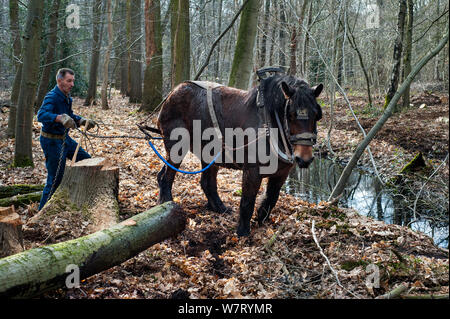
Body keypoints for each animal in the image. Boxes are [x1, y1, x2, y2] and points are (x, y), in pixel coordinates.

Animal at [156, 73, 322, 238]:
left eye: (316, 115)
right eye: (290, 114)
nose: (304, 159)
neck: (270, 125)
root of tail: (173, 92)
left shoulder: (281, 173)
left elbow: (271, 198)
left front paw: (261, 219)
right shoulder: (252, 171)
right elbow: (247, 201)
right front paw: (242, 232)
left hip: (210, 153)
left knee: (206, 182)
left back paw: (219, 207)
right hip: (176, 147)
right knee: (167, 176)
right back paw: (167, 205)